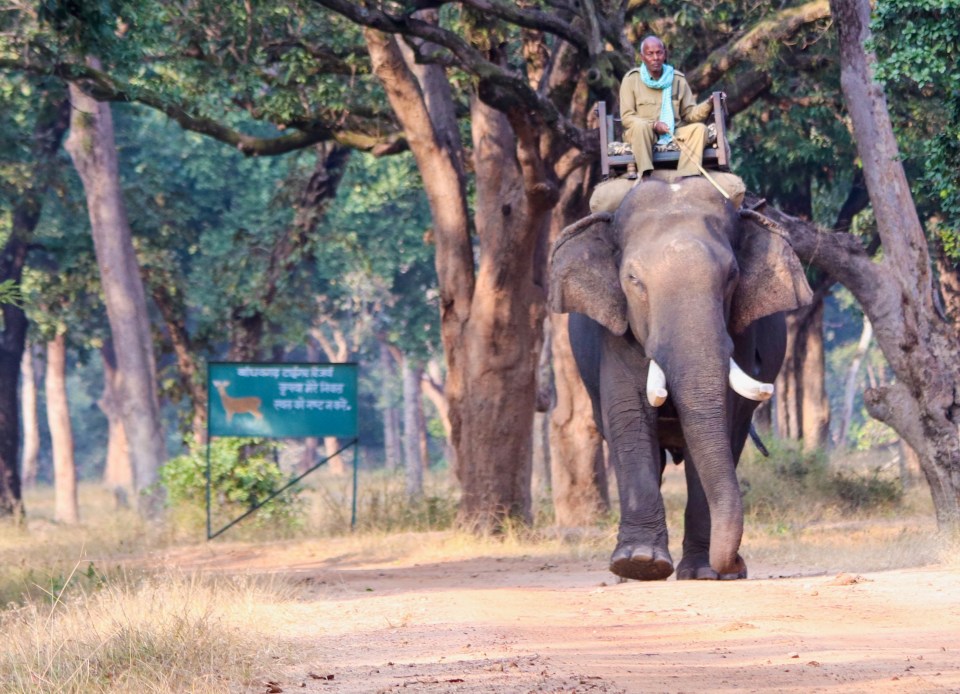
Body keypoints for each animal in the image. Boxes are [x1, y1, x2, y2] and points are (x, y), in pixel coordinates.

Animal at [549, 173, 812, 580]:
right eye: (633, 280)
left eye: (732, 276)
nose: (738, 565)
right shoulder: (616, 333)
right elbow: (628, 414)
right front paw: (641, 563)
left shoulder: (740, 331)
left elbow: (723, 421)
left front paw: (705, 572)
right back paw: (628, 572)